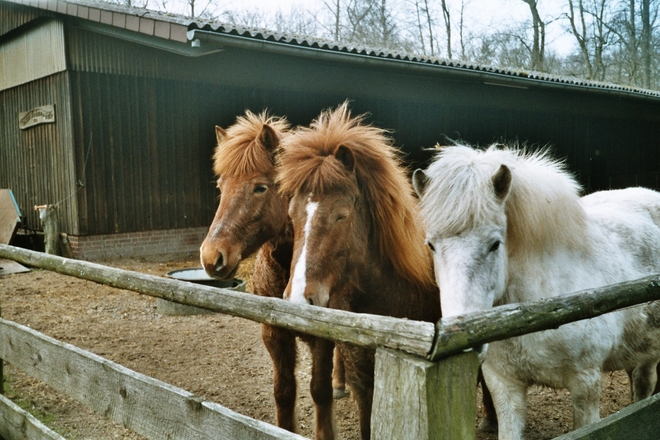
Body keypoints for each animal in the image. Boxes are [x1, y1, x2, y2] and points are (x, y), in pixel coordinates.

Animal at [199, 111, 346, 440]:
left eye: (260, 187)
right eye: (220, 186)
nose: (211, 256)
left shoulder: (322, 338)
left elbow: (319, 392)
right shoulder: (274, 335)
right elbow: (284, 392)